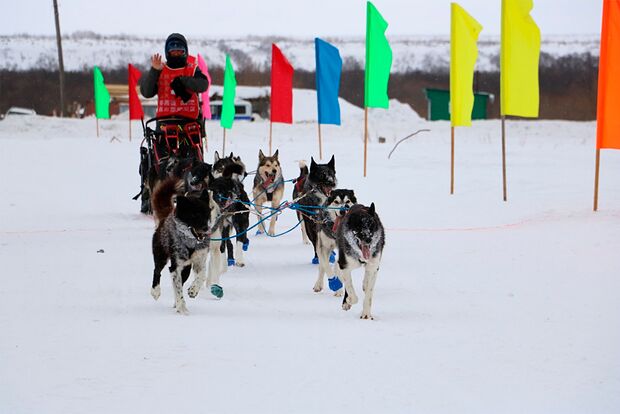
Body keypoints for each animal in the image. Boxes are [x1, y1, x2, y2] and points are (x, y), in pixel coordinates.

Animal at [149, 178, 219, 314]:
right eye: (194, 215)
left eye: (206, 213)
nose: (206, 228)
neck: (191, 243)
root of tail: (166, 217)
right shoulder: (175, 266)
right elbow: (178, 288)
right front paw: (182, 308)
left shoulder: (199, 261)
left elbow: (202, 275)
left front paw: (193, 290)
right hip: (161, 255)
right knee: (157, 271)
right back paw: (156, 291)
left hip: (186, 269)